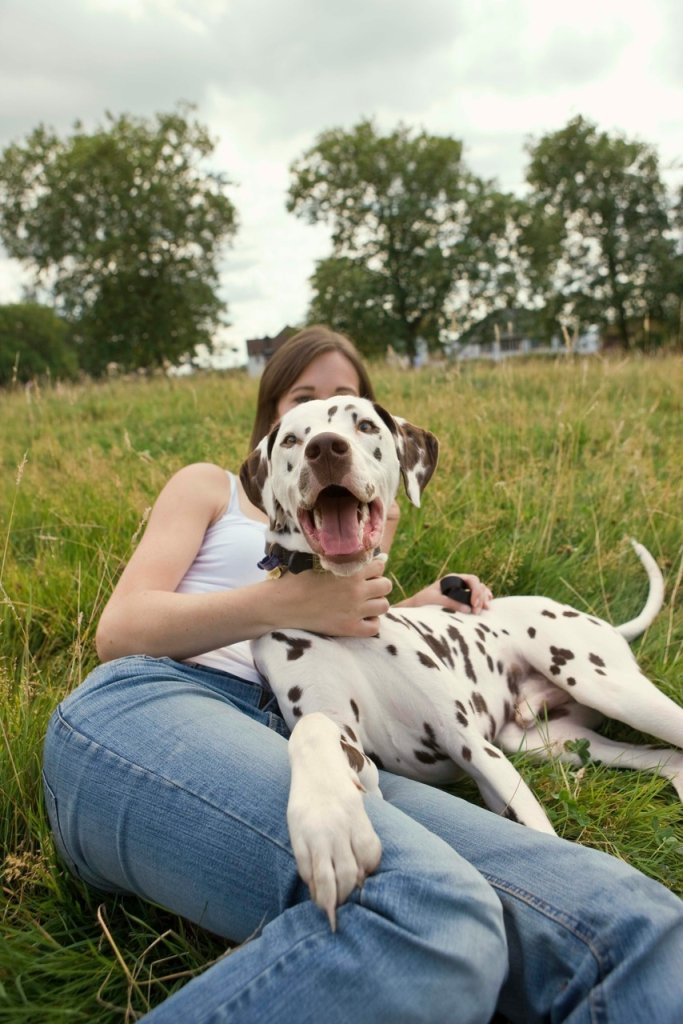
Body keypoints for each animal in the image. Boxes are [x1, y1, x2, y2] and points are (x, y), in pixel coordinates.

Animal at [240, 395, 683, 925]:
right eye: (291, 438)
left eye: (363, 425)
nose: (325, 448)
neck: (345, 617)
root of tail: (599, 622)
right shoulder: (355, 750)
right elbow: (314, 731)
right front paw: (328, 825)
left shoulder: (473, 746)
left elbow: (539, 831)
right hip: (553, 743)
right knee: (666, 759)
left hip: (604, 687)